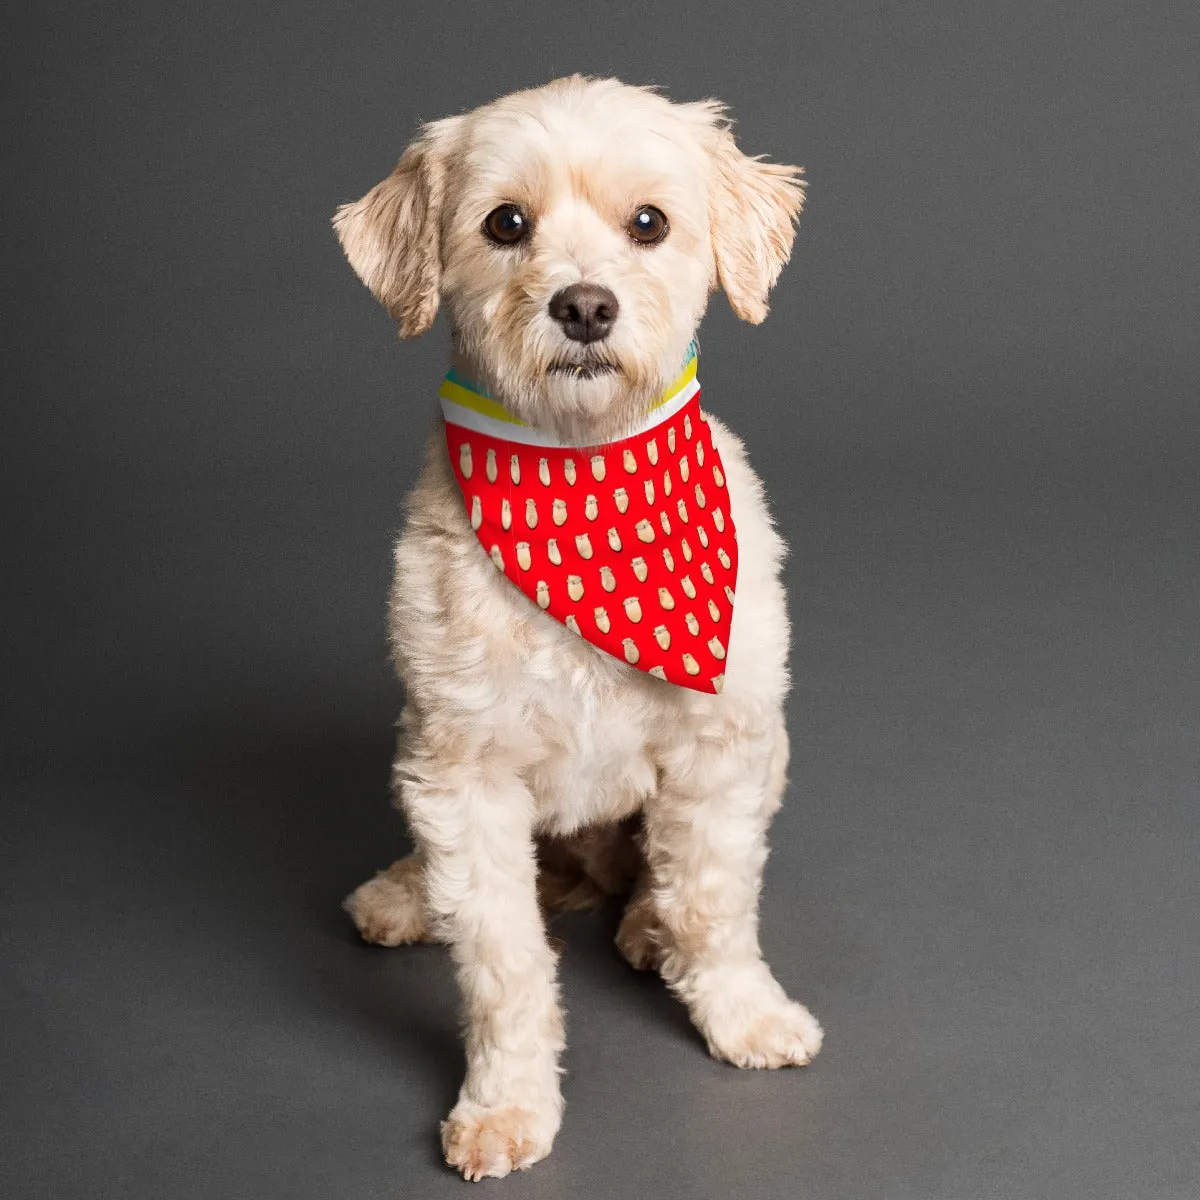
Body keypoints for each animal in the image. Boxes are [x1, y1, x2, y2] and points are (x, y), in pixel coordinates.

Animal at [338, 75, 825, 1180]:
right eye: (504, 224)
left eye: (649, 223)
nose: (586, 305)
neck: (582, 471)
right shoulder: (462, 773)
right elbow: (501, 960)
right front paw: (506, 1101)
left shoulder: (723, 747)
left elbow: (712, 899)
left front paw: (741, 1011)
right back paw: (405, 894)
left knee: (657, 878)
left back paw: (644, 926)